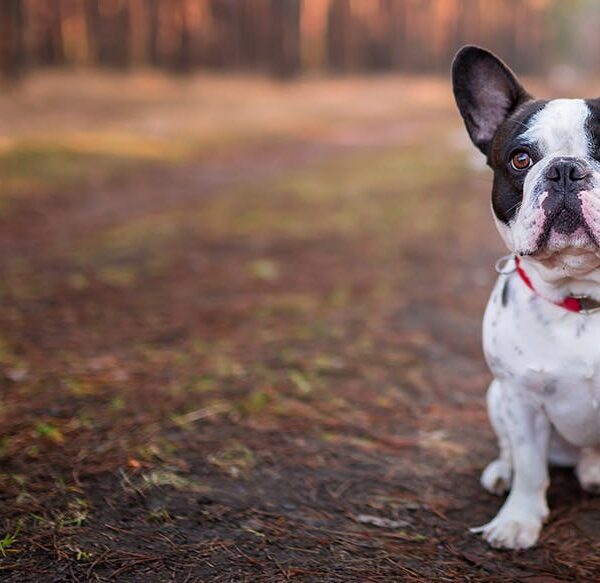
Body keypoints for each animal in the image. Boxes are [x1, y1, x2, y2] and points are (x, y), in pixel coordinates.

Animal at [454, 46, 600, 552]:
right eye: (520, 160)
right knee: (513, 453)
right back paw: (502, 472)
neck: (584, 297)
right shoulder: (522, 401)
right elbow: (532, 469)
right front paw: (518, 521)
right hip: (496, 396)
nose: (564, 169)